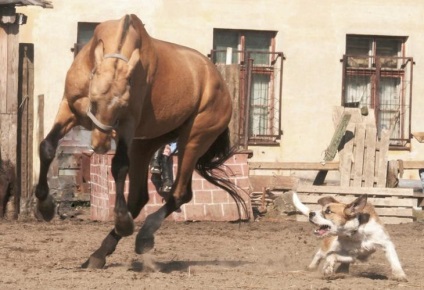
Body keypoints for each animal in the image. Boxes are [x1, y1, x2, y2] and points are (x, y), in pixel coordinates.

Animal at [36, 13, 250, 268]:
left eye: (121, 107)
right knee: (140, 197)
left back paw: (141, 235)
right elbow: (47, 147)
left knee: (179, 193)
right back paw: (99, 254)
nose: (100, 145)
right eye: (94, 102)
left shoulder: (128, 124)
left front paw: (122, 221)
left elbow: (119, 166)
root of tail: (220, 83)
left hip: (193, 139)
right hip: (146, 143)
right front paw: (45, 206)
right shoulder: (69, 108)